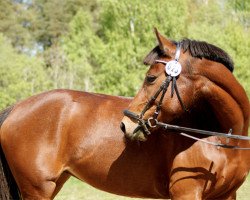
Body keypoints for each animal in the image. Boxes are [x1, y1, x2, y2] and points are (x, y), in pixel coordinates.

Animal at [0, 28, 248, 200]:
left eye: (150, 78)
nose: (125, 125)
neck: (223, 141)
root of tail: (16, 107)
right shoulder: (186, 193)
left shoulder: (227, 195)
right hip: (37, 189)